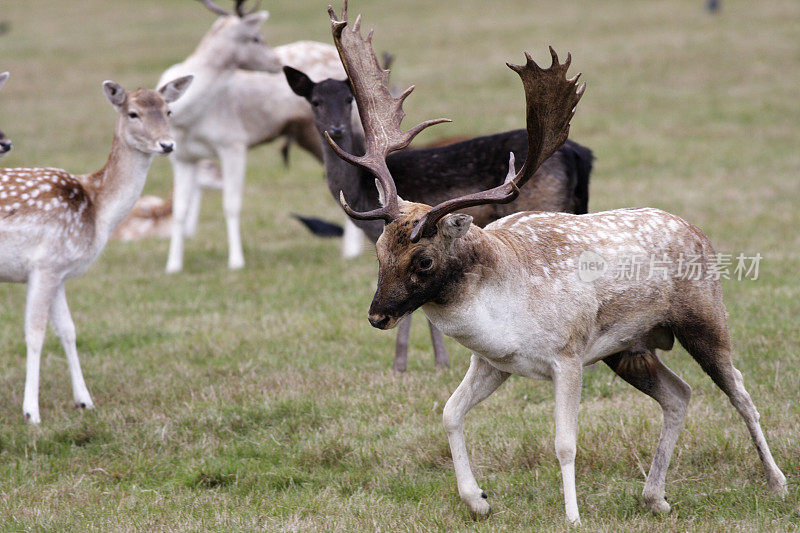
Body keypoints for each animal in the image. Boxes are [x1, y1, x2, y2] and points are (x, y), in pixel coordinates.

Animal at [0, 76, 193, 424]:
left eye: (168, 110)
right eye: (133, 113)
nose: (167, 145)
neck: (97, 207)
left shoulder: (60, 271)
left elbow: (68, 330)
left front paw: (85, 401)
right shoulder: (44, 265)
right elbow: (35, 333)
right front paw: (31, 412)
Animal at [159, 0, 354, 272]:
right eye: (255, 38)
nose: (277, 61)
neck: (187, 115)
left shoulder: (233, 143)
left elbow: (231, 205)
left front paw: (236, 261)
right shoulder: (182, 156)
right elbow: (179, 210)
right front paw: (173, 265)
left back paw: (353, 250)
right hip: (308, 135)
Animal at [324, 2, 788, 520]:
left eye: (423, 260)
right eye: (380, 250)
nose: (377, 315)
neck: (503, 308)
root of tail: (698, 231)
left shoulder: (568, 355)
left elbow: (565, 442)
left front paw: (572, 516)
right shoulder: (493, 362)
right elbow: (449, 412)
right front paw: (478, 500)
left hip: (703, 317)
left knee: (741, 392)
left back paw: (776, 482)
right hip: (629, 349)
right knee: (679, 393)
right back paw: (655, 496)